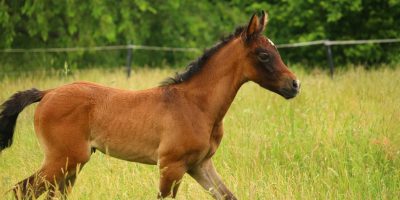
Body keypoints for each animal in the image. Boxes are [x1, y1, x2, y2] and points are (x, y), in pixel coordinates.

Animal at [0, 11, 300, 199]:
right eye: (263, 54)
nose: (294, 84)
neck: (196, 106)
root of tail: (48, 92)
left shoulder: (200, 165)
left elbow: (228, 195)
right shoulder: (171, 166)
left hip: (72, 164)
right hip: (63, 160)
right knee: (20, 190)